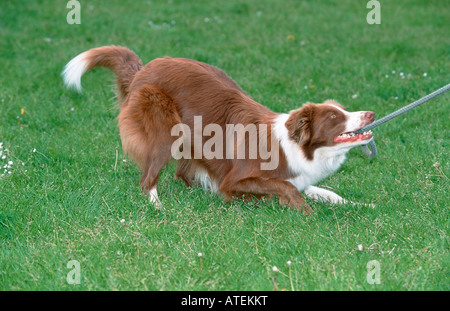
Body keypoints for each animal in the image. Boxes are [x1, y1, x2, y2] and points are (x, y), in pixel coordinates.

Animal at [62, 45, 372, 214]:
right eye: (333, 116)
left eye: (343, 110)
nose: (370, 113)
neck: (296, 147)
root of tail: (143, 69)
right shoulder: (237, 178)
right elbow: (283, 187)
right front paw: (305, 211)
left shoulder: (302, 178)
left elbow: (325, 191)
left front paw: (359, 205)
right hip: (165, 129)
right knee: (148, 179)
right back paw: (157, 206)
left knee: (182, 173)